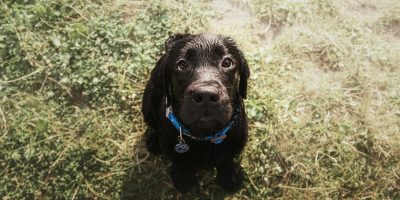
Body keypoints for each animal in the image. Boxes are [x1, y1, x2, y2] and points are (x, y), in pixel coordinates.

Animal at [142, 33, 250, 194]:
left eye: (227, 62)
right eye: (182, 65)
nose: (206, 95)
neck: (204, 136)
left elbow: (227, 159)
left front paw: (230, 176)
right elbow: (181, 163)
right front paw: (183, 179)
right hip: (148, 102)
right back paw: (154, 141)